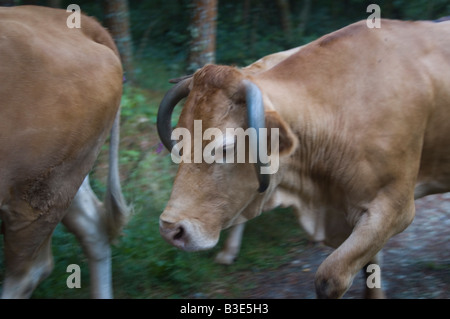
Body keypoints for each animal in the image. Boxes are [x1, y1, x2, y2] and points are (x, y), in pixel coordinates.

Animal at [157, 19, 450, 300]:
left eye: (226, 147)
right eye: (179, 139)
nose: (171, 230)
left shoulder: (395, 207)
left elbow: (331, 278)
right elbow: (370, 264)